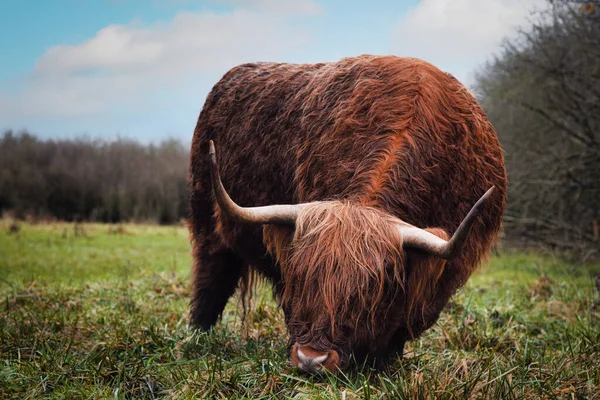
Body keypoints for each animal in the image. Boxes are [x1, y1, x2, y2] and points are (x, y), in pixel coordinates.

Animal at [188, 54, 506, 374]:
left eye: (371, 287)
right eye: (301, 275)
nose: (312, 359)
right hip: (207, 225)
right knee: (210, 280)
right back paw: (197, 337)